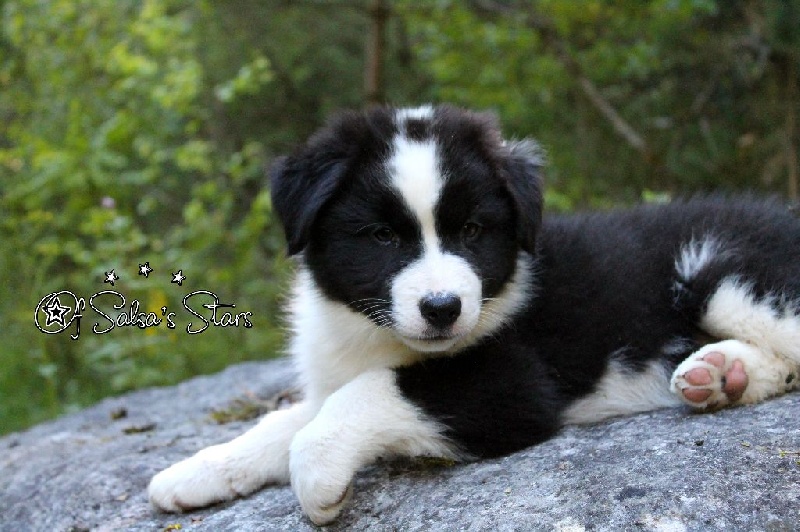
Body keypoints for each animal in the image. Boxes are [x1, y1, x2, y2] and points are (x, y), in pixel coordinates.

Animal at [149, 105, 800, 525]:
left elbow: (369, 394)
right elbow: (287, 419)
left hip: (720, 271)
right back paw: (720, 375)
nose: (442, 308)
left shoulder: (516, 384)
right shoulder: (338, 373)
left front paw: (318, 477)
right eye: (382, 236)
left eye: (471, 231)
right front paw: (196, 472)